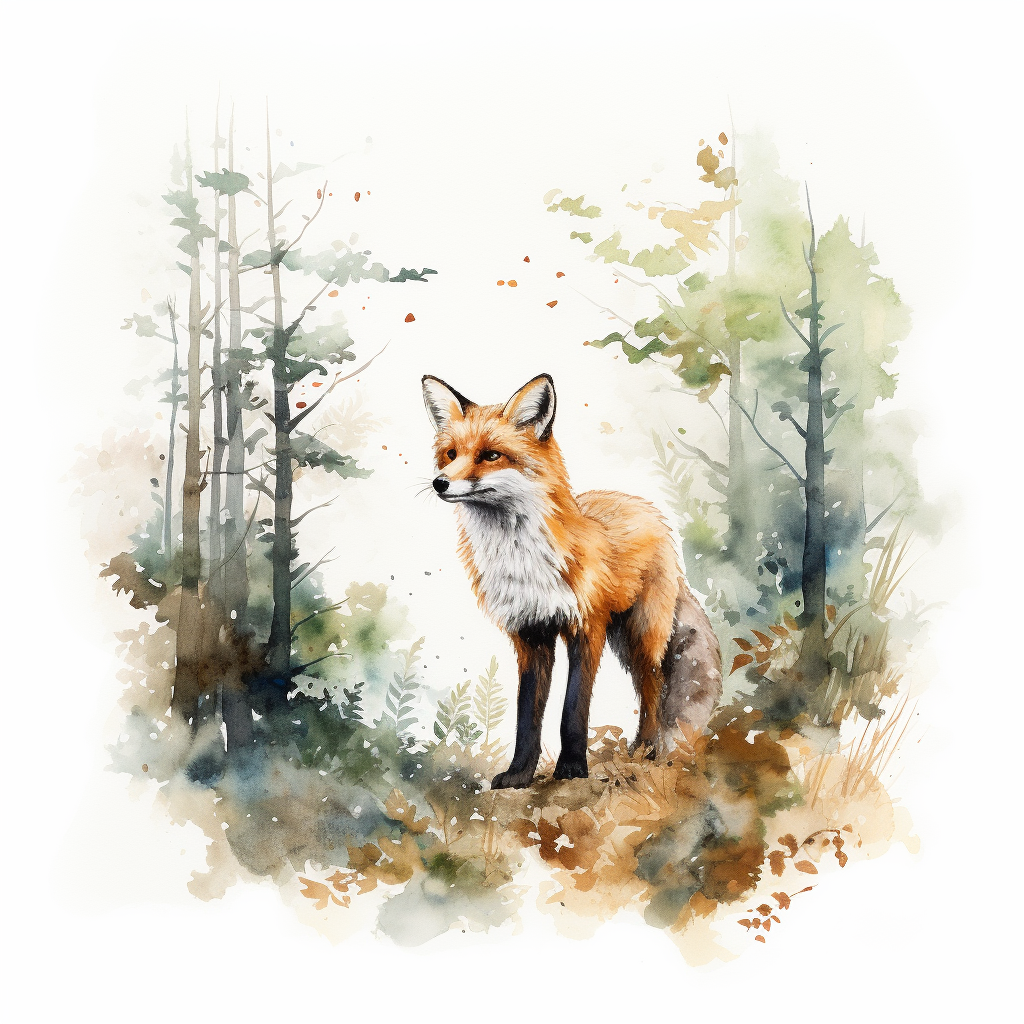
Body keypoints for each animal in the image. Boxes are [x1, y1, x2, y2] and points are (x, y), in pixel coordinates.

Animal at [421, 372, 722, 789]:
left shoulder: (587, 627)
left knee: (655, 686)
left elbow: (573, 709)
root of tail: (647, 509)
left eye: (491, 455)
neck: (523, 562)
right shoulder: (529, 636)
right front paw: (519, 774)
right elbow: (527, 715)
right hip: (623, 640)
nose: (439, 483)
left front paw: (572, 768)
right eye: (451, 454)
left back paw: (646, 751)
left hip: (641, 634)